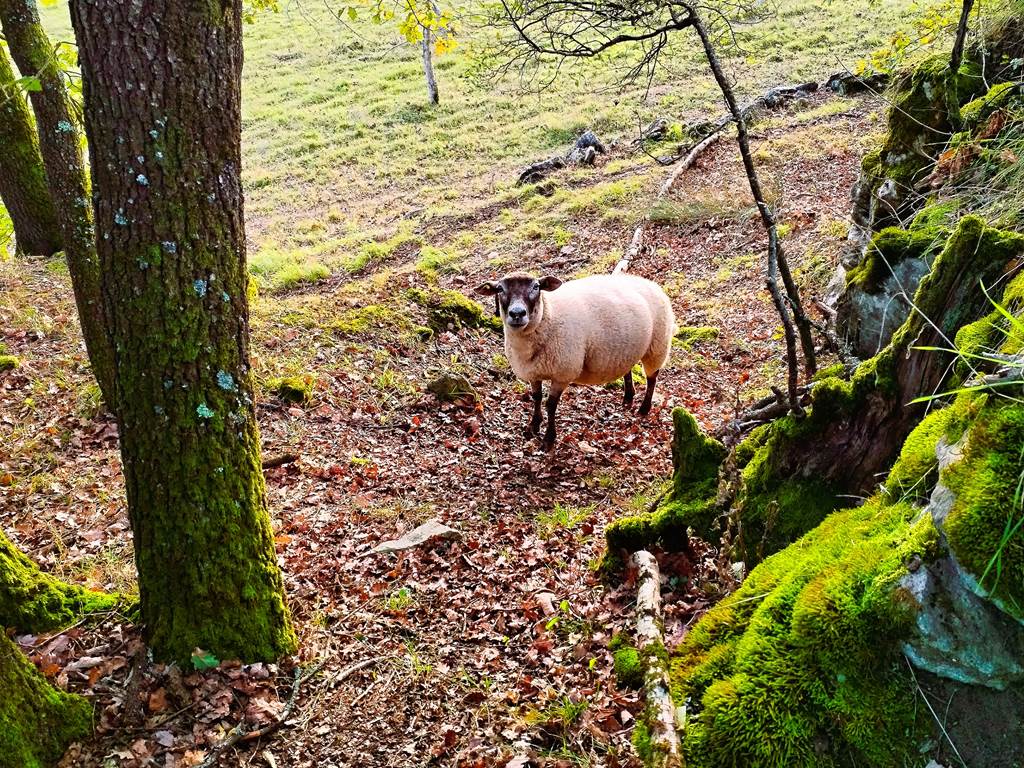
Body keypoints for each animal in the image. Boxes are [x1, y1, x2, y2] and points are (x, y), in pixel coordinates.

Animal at [475, 271, 675, 450]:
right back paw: (628, 397)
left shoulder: (563, 373)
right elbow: (537, 398)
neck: (548, 315)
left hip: (657, 345)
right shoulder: (533, 372)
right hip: (628, 348)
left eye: (536, 287)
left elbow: (550, 405)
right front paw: (533, 426)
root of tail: (649, 282)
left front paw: (548, 439)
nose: (517, 314)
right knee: (628, 368)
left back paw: (644, 408)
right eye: (500, 289)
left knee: (652, 378)